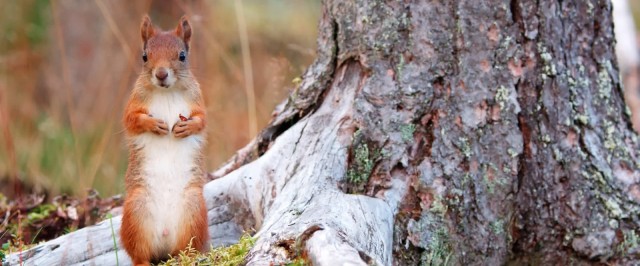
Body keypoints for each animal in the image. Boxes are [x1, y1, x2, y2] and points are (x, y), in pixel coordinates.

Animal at [119, 15, 208, 264]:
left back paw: (185, 258)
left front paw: (187, 127)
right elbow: (131, 119)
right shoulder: (133, 103)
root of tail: (165, 238)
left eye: (182, 55)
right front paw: (153, 125)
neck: (167, 92)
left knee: (186, 248)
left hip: (194, 209)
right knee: (139, 254)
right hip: (136, 211)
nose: (161, 74)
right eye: (144, 56)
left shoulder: (198, 101)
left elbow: (202, 120)